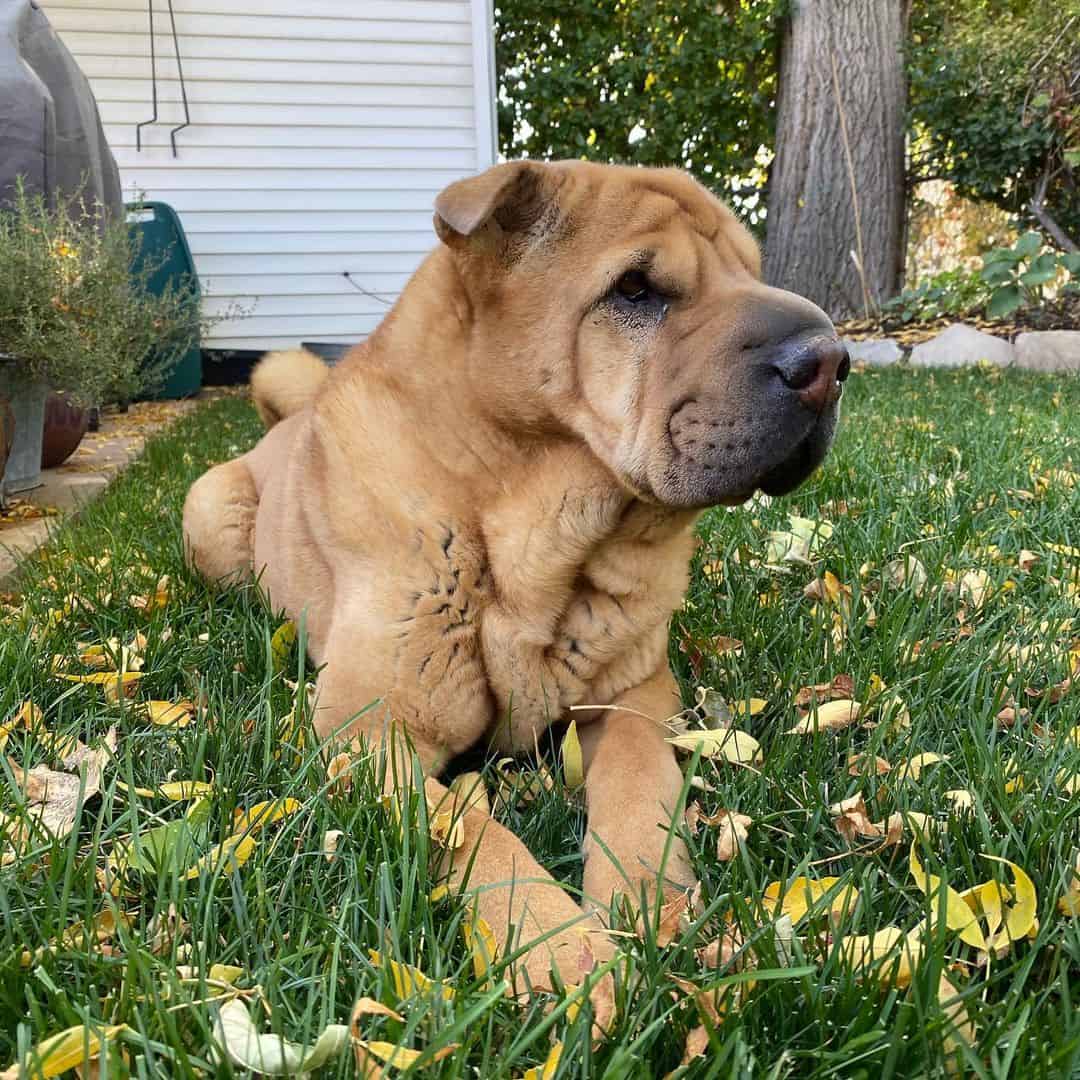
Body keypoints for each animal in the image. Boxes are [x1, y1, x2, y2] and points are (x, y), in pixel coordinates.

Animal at [181, 159, 846, 1002]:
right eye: (635, 290)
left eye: (750, 272)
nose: (831, 363)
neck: (538, 544)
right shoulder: (365, 730)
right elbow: (469, 827)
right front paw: (563, 953)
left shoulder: (635, 695)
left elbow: (638, 783)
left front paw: (648, 903)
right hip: (211, 512)